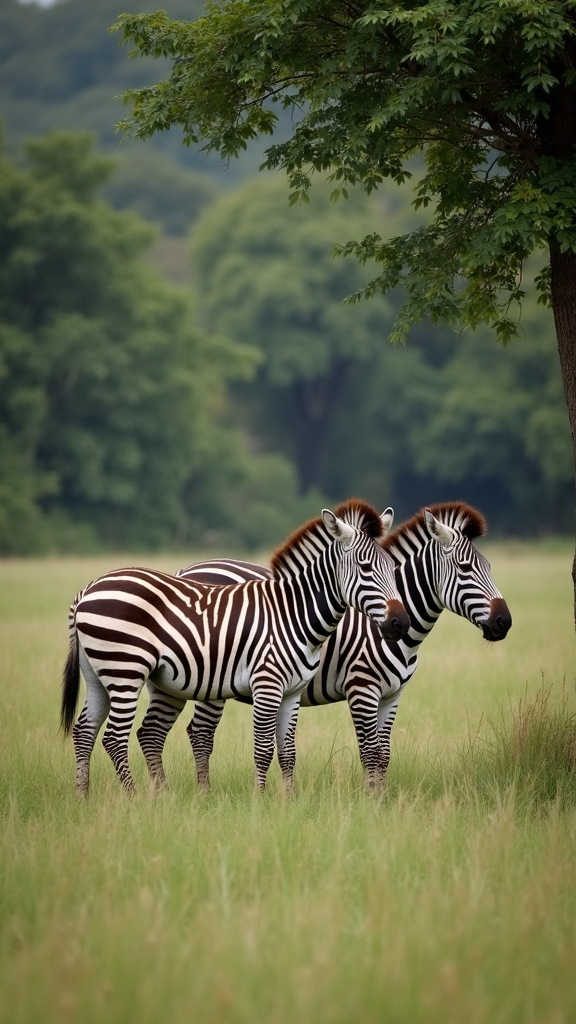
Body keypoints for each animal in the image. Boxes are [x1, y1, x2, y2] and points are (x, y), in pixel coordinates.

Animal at [61, 499, 407, 794]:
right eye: (365, 567)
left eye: (393, 567)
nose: (400, 623)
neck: (294, 614)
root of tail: (87, 589)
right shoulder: (267, 685)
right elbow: (263, 749)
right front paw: (260, 802)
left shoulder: (292, 692)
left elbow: (288, 752)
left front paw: (289, 804)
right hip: (125, 670)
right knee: (114, 738)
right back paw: (134, 801)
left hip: (99, 674)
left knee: (85, 732)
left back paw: (84, 798)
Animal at [172, 501, 508, 782]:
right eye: (465, 568)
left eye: (490, 568)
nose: (504, 621)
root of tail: (188, 568)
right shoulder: (362, 689)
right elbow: (370, 754)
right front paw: (370, 805)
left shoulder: (392, 695)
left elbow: (384, 755)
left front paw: (381, 803)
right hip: (213, 682)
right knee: (200, 733)